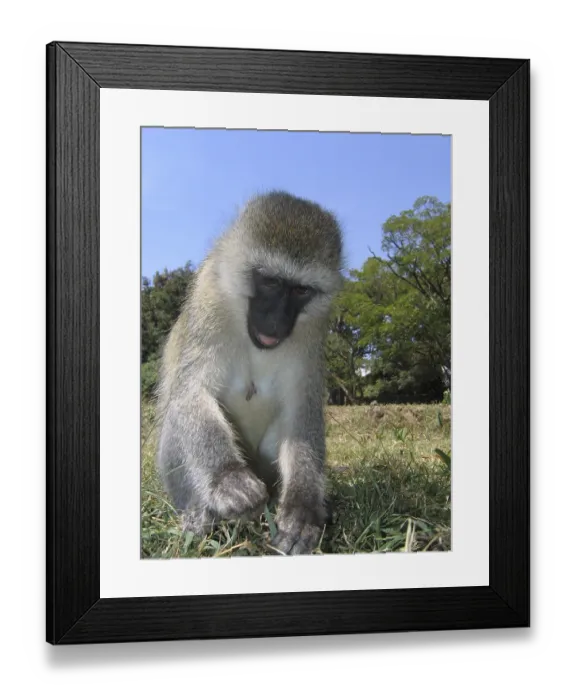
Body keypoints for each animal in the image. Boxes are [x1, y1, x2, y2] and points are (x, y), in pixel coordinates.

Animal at [154, 190, 344, 555]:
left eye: (301, 290)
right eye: (270, 282)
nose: (276, 321)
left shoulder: (313, 327)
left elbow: (302, 412)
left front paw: (302, 509)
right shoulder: (210, 295)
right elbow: (191, 390)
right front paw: (227, 479)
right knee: (177, 417)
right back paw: (199, 514)